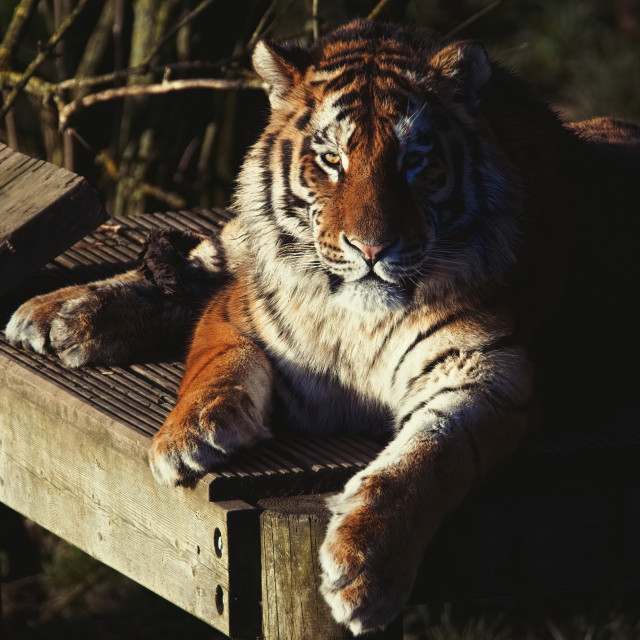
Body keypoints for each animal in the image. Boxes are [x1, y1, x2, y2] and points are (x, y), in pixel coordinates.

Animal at [7, 18, 640, 636]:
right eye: (332, 160)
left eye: (415, 162)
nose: (371, 248)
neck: (358, 319)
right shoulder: (239, 309)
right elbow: (216, 364)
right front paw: (186, 438)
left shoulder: (489, 376)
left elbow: (423, 461)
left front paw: (364, 572)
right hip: (241, 244)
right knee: (201, 258)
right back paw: (58, 315)